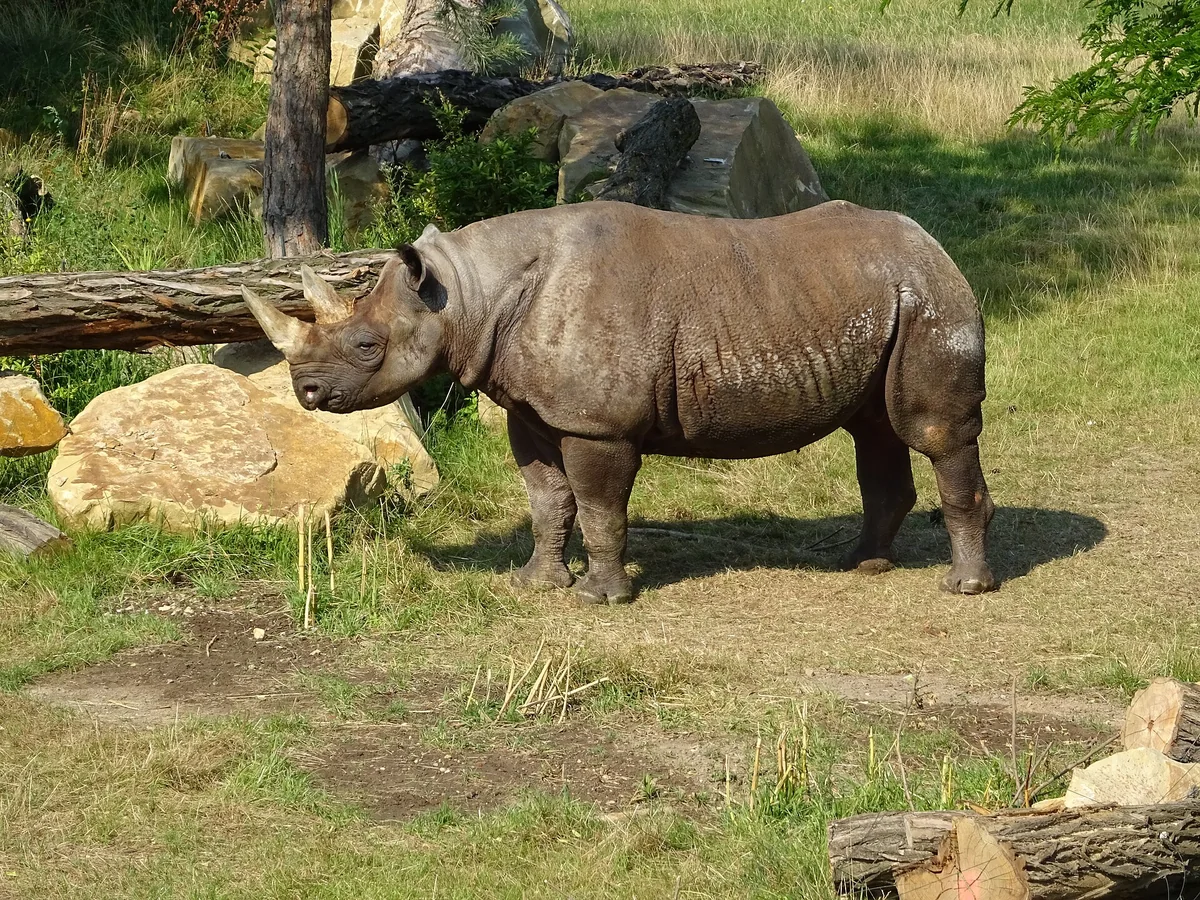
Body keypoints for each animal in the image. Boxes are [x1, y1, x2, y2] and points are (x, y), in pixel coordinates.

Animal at [243, 200, 996, 603]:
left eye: (367, 346)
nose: (306, 392)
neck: (467, 295)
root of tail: (936, 245)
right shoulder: (532, 410)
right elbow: (547, 500)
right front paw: (536, 583)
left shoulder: (596, 423)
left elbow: (599, 505)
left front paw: (600, 597)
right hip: (879, 297)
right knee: (875, 432)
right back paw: (860, 564)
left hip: (930, 302)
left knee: (935, 433)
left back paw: (962, 587)